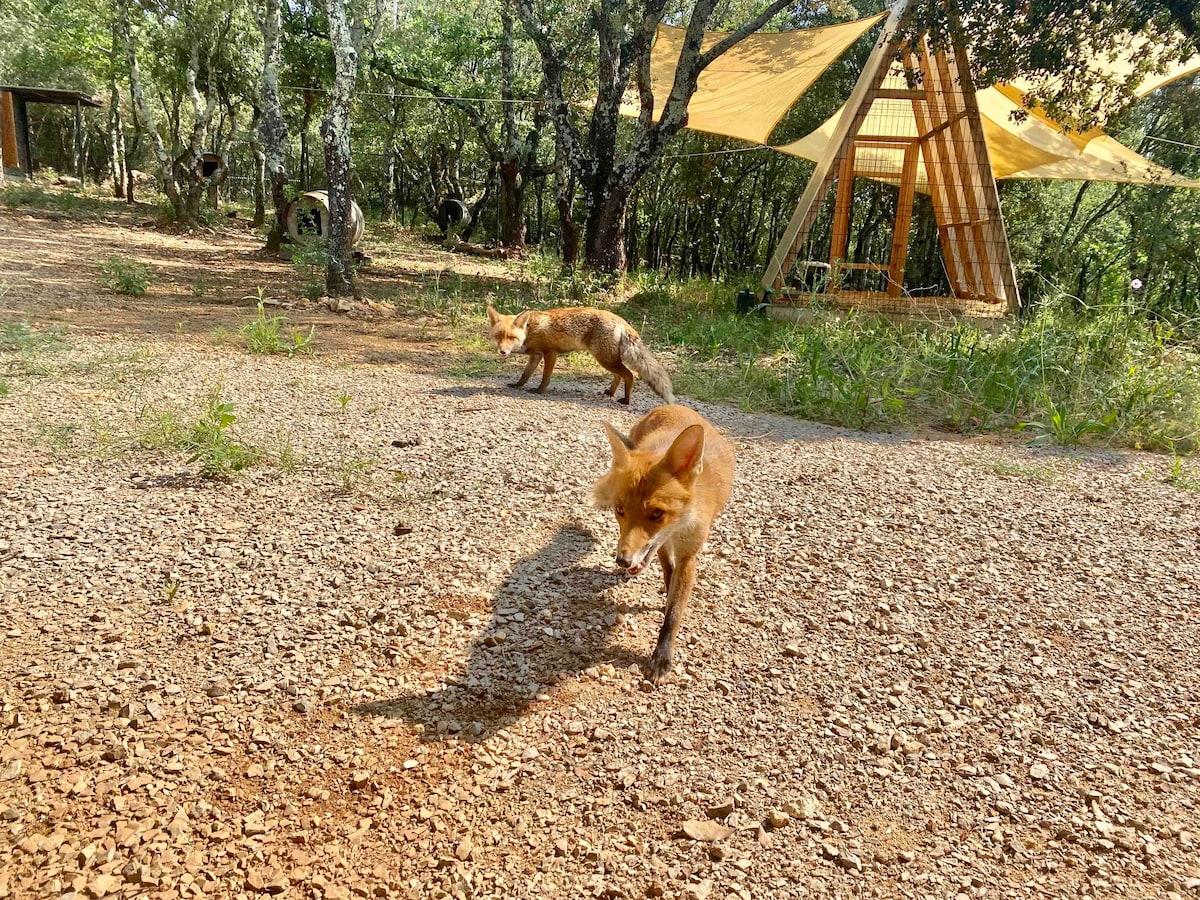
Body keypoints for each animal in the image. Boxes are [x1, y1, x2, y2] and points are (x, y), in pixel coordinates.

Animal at [484, 307, 676, 405]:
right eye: (498, 336)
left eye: (512, 338)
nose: (502, 352)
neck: (530, 330)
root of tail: (621, 320)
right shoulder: (536, 356)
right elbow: (525, 374)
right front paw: (518, 385)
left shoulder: (550, 353)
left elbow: (545, 377)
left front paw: (540, 390)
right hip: (606, 359)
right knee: (619, 375)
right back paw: (610, 392)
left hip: (605, 359)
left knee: (629, 375)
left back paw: (626, 400)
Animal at [590, 408, 729, 681]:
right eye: (619, 510)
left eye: (656, 513)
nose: (623, 560)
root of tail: (674, 407)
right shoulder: (665, 546)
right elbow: (667, 571)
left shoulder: (689, 555)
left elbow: (674, 614)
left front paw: (662, 657)